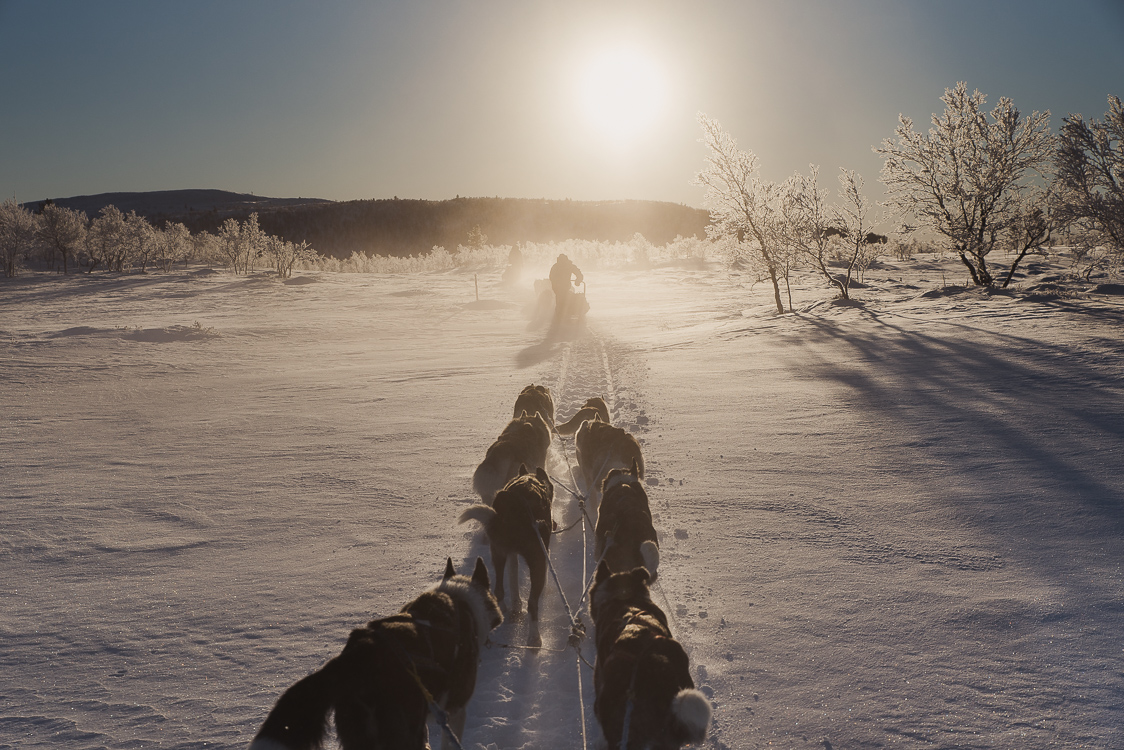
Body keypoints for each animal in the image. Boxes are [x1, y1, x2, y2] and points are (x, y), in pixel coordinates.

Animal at [458, 463, 555, 647]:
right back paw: (534, 638)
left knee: (499, 589)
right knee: (533, 604)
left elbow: (513, 577)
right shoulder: (542, 552)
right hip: (536, 558)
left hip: (498, 551)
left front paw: (516, 605)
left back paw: (503, 608)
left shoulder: (510, 553)